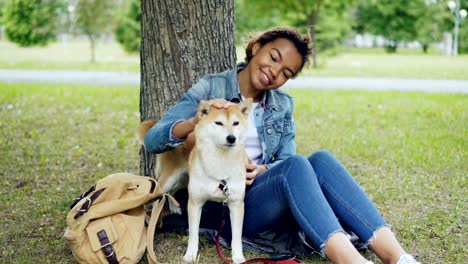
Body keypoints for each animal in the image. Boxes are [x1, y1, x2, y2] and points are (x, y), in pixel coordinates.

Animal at [139, 99, 252, 264]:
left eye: (236, 123)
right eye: (218, 123)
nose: (231, 138)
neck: (220, 161)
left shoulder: (236, 204)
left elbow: (236, 236)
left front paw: (238, 257)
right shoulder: (195, 202)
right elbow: (193, 233)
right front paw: (190, 254)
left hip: (184, 179)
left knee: (172, 192)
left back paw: (175, 207)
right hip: (170, 178)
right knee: (158, 196)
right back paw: (156, 218)